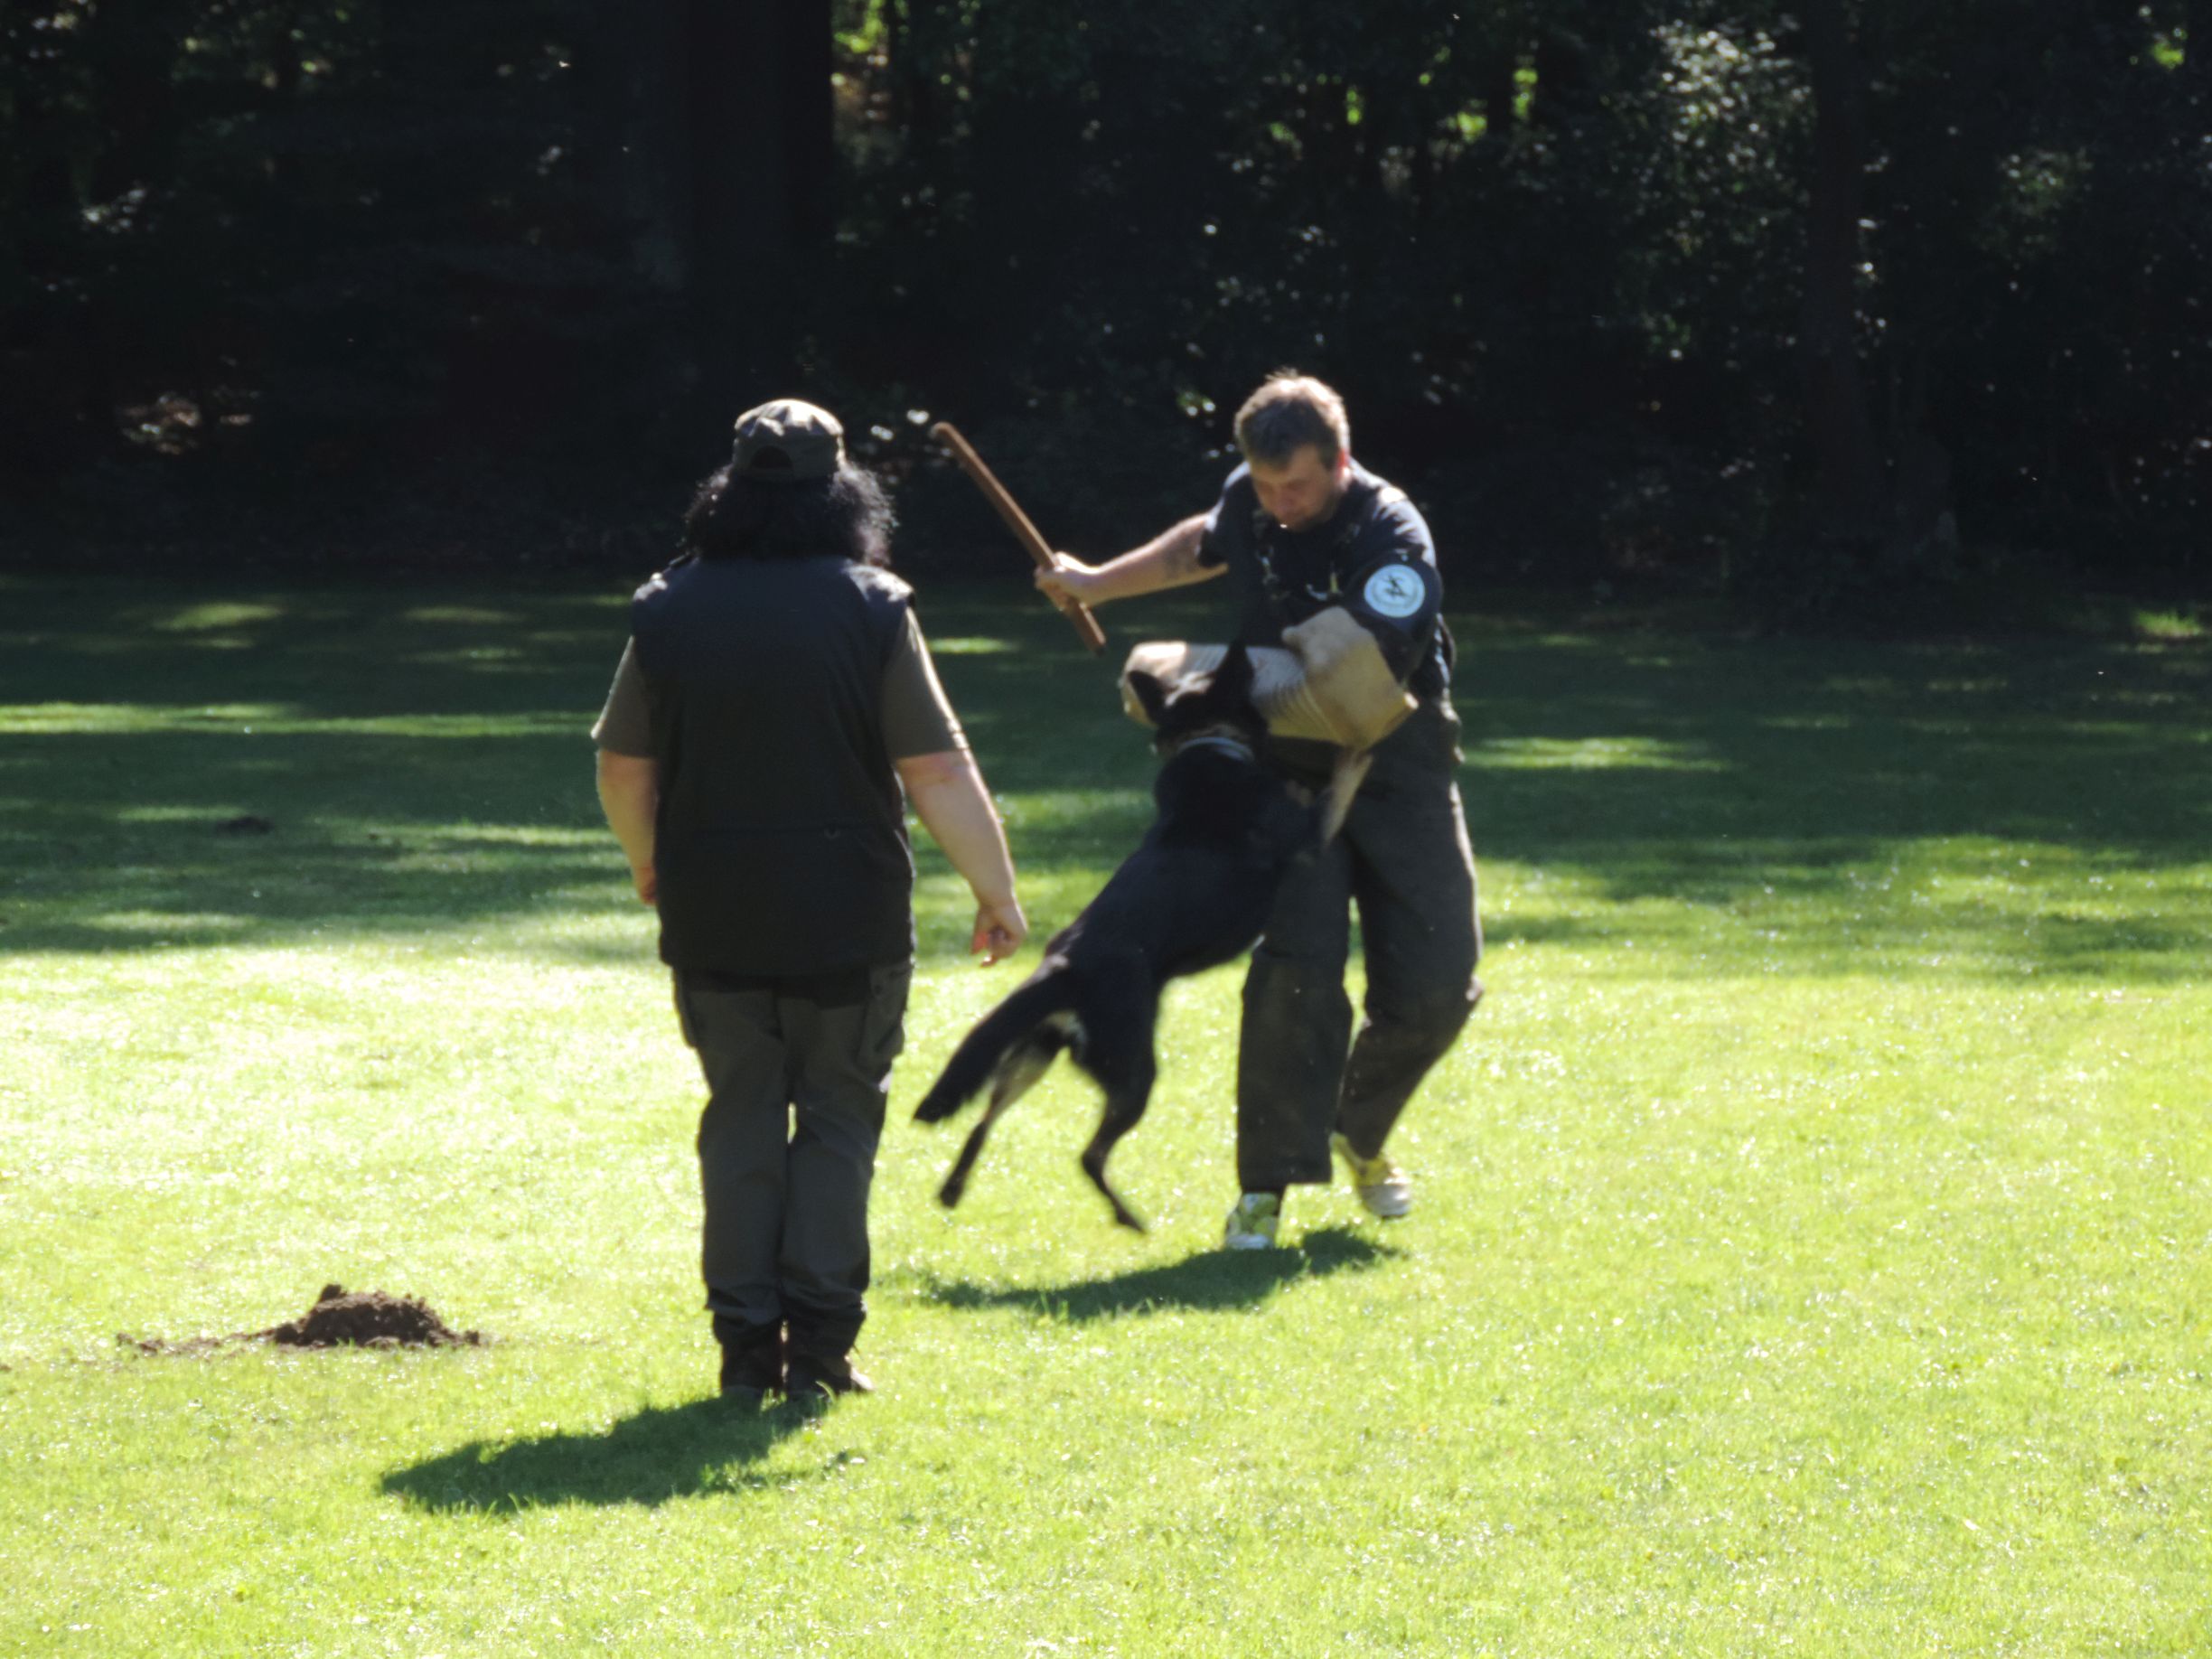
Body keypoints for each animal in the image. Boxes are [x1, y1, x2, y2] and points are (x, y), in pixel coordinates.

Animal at [913, 642, 1317, 1230]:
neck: (1208, 742)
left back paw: (952, 1190)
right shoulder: (1306, 833)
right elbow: (1333, 792)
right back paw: (1130, 1217)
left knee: (981, 1124)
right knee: (1089, 1155)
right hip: (1131, 1072)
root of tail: (1061, 967)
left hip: (1029, 1058)